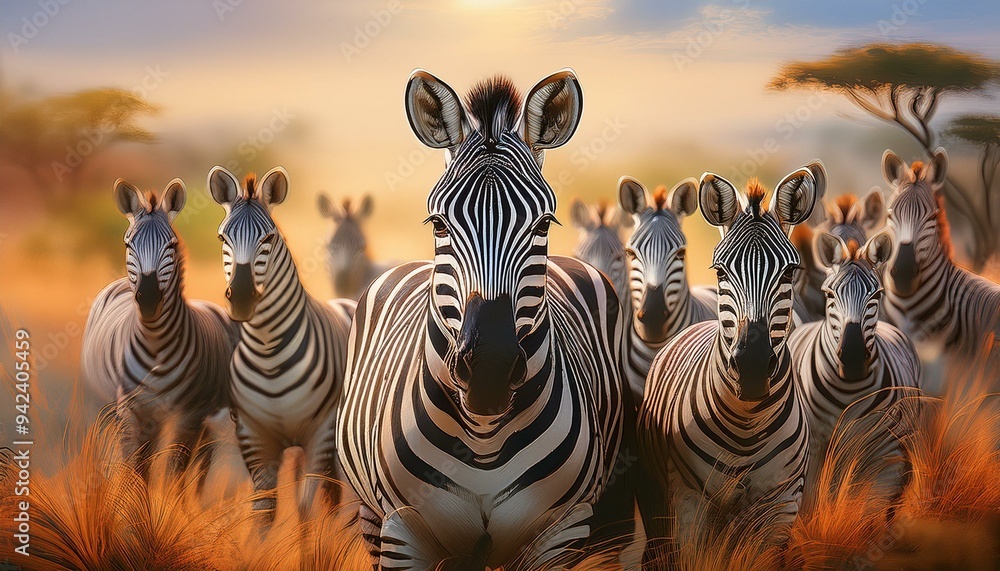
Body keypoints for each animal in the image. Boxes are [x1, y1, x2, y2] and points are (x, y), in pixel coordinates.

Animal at [81, 178, 238, 482]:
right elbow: (137, 469)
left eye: (171, 245)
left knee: (202, 459)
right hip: (108, 407)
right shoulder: (132, 410)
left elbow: (174, 471)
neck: (156, 342)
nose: (149, 298)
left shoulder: (189, 413)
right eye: (128, 243)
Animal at [208, 166, 356, 519]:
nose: (242, 298)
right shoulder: (253, 438)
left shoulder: (320, 435)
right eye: (222, 238)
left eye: (269, 238)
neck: (268, 352)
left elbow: (304, 509)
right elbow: (263, 510)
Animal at [337, 70, 630, 570]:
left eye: (543, 225)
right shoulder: (401, 529)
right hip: (370, 517)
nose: (487, 373)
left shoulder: (563, 530)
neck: (483, 439)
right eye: (438, 224)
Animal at [636, 165, 821, 566]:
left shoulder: (782, 504)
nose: (752, 366)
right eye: (721, 273)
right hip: (655, 494)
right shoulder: (689, 500)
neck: (747, 422)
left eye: (789, 273)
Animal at [788, 229, 920, 506]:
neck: (847, 390)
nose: (853, 358)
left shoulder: (883, 450)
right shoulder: (815, 447)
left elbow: (870, 504)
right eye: (830, 295)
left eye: (877, 295)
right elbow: (813, 501)